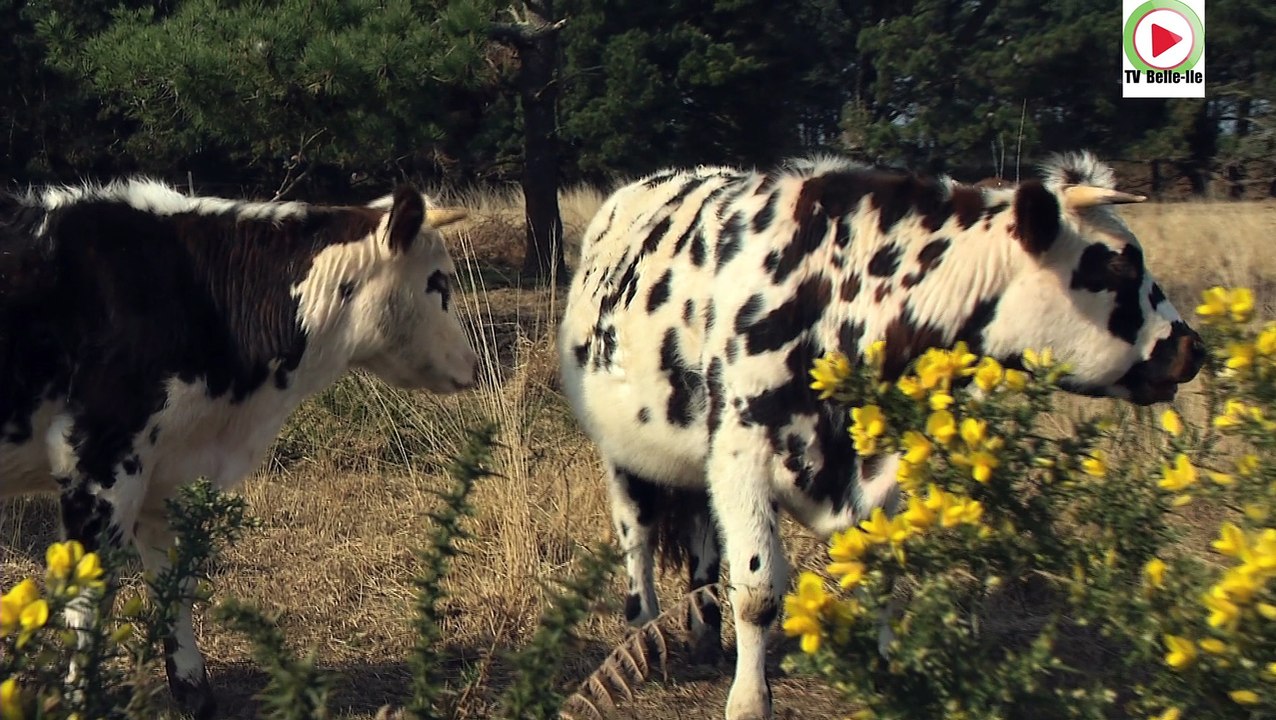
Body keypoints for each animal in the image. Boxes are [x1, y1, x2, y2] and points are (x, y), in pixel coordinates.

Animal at [0, 177, 480, 718]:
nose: (473, 365)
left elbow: (175, 583)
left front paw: (192, 690)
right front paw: (83, 702)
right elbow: (89, 602)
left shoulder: (164, 471)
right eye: (439, 282)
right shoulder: (100, 460)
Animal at [557, 152, 1205, 720]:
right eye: (1117, 267)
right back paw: (644, 635)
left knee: (701, 548)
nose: (1191, 348)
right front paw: (749, 701)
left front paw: (889, 667)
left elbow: (883, 571)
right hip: (626, 458)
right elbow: (759, 589)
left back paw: (704, 639)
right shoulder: (743, 456)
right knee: (638, 542)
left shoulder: (879, 465)